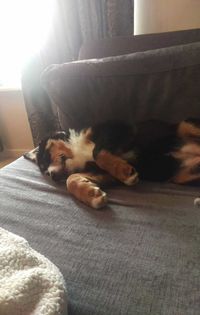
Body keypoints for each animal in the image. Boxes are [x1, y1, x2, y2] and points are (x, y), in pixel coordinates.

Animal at [24, 119, 200, 209]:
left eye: (45, 158)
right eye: (44, 170)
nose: (52, 175)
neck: (77, 150)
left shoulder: (119, 129)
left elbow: (99, 152)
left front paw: (125, 172)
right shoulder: (103, 173)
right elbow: (71, 179)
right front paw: (91, 194)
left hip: (186, 125)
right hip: (184, 175)